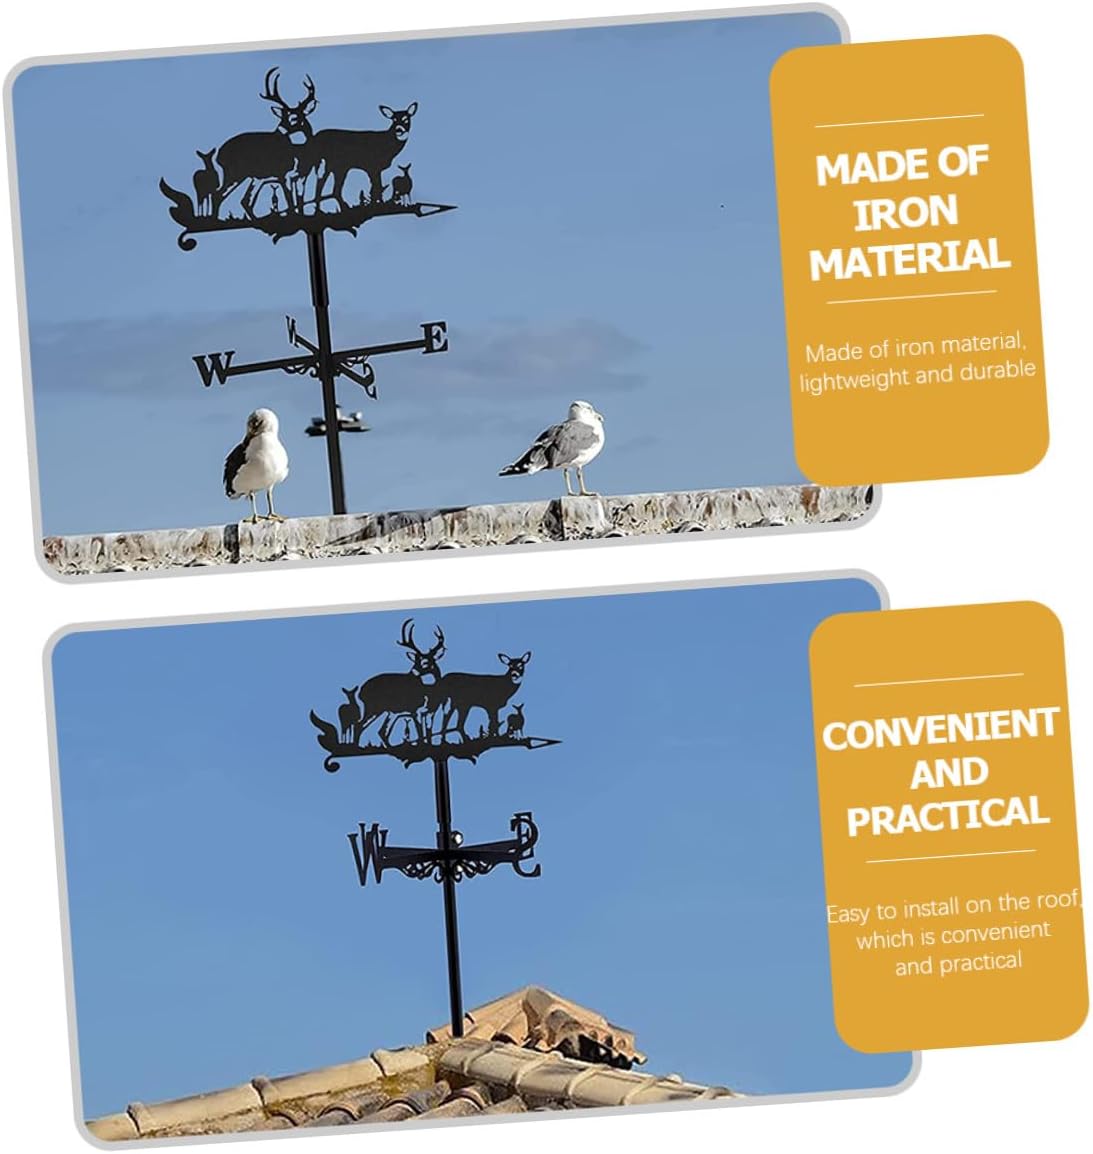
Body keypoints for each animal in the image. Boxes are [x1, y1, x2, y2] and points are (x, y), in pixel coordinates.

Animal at [216, 69, 317, 218]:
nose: (278, 130)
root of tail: (219, 155)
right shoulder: (283, 174)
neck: (299, 151)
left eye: (294, 118)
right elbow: (290, 202)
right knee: (219, 195)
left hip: (255, 178)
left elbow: (300, 201)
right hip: (235, 173)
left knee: (245, 201)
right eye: (282, 117)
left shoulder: (302, 176)